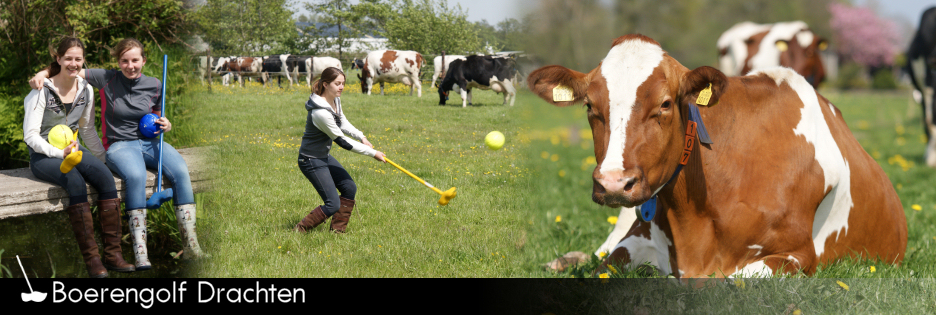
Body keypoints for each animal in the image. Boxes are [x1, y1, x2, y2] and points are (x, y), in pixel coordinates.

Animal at [532, 34, 908, 280]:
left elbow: (730, 281)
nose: (613, 183)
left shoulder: (797, 255)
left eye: (665, 104)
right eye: (589, 106)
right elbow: (604, 265)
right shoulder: (631, 242)